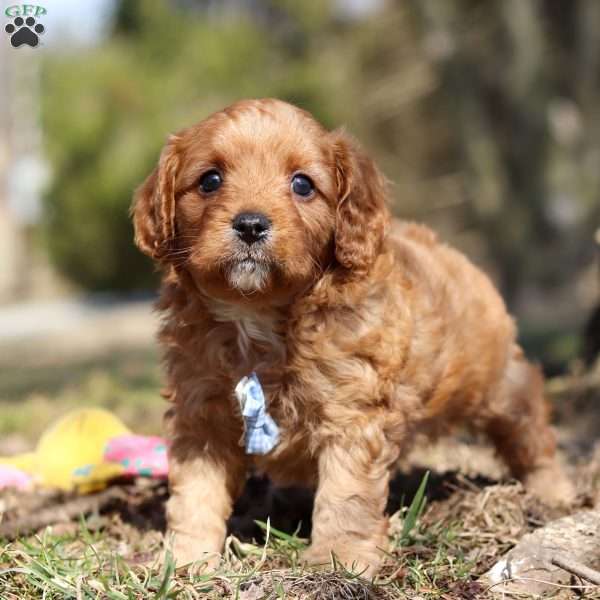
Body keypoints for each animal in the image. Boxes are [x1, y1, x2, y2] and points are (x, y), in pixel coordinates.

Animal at [134, 98, 576, 576]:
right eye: (210, 180)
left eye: (302, 185)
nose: (251, 225)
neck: (258, 315)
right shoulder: (201, 414)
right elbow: (196, 491)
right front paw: (186, 559)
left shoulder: (352, 414)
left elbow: (345, 494)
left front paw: (339, 558)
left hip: (499, 384)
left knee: (530, 426)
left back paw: (553, 492)